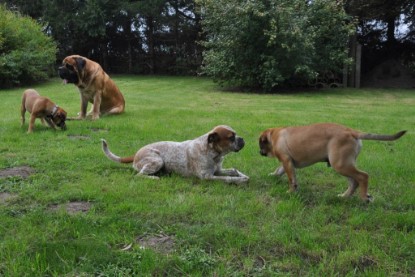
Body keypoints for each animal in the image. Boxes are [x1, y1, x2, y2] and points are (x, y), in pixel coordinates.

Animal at [258, 123, 408, 201]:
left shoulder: (286, 160)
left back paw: (363, 198)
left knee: (363, 176)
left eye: (260, 144)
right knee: (354, 182)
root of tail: (352, 131)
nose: (260, 152)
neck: (274, 135)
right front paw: (274, 175)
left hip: (340, 164)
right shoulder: (288, 162)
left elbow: (291, 178)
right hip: (345, 164)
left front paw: (290, 191)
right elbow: (280, 170)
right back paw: (345, 196)